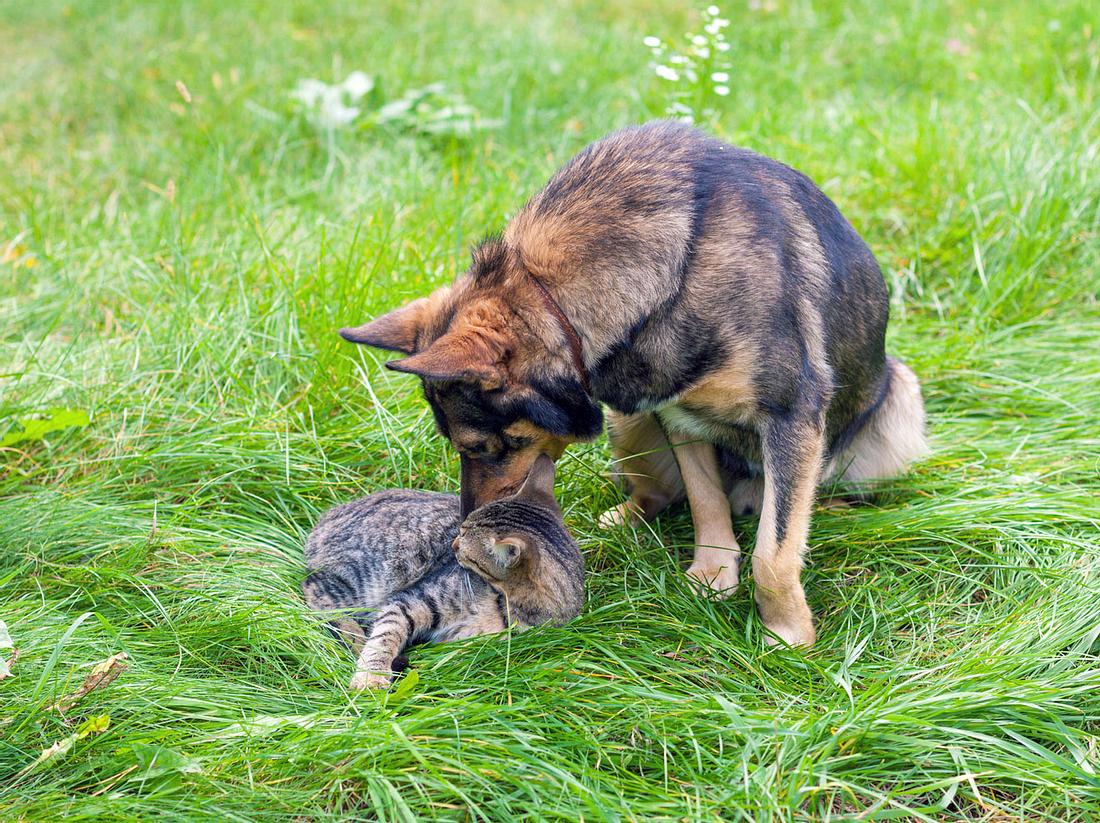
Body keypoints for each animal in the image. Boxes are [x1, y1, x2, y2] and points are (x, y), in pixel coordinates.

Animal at [301, 453, 585, 690]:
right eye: (460, 528)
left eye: (465, 542)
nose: (453, 545)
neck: (509, 606)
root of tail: (327, 517)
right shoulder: (410, 600)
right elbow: (385, 635)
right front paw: (372, 677)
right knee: (317, 592)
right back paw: (354, 637)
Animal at [338, 120, 924, 651]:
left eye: (483, 447)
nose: (462, 532)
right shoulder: (678, 414)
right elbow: (705, 501)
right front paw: (714, 574)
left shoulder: (790, 417)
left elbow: (773, 554)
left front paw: (787, 632)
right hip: (631, 421)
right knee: (661, 491)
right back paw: (623, 517)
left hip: (899, 399)